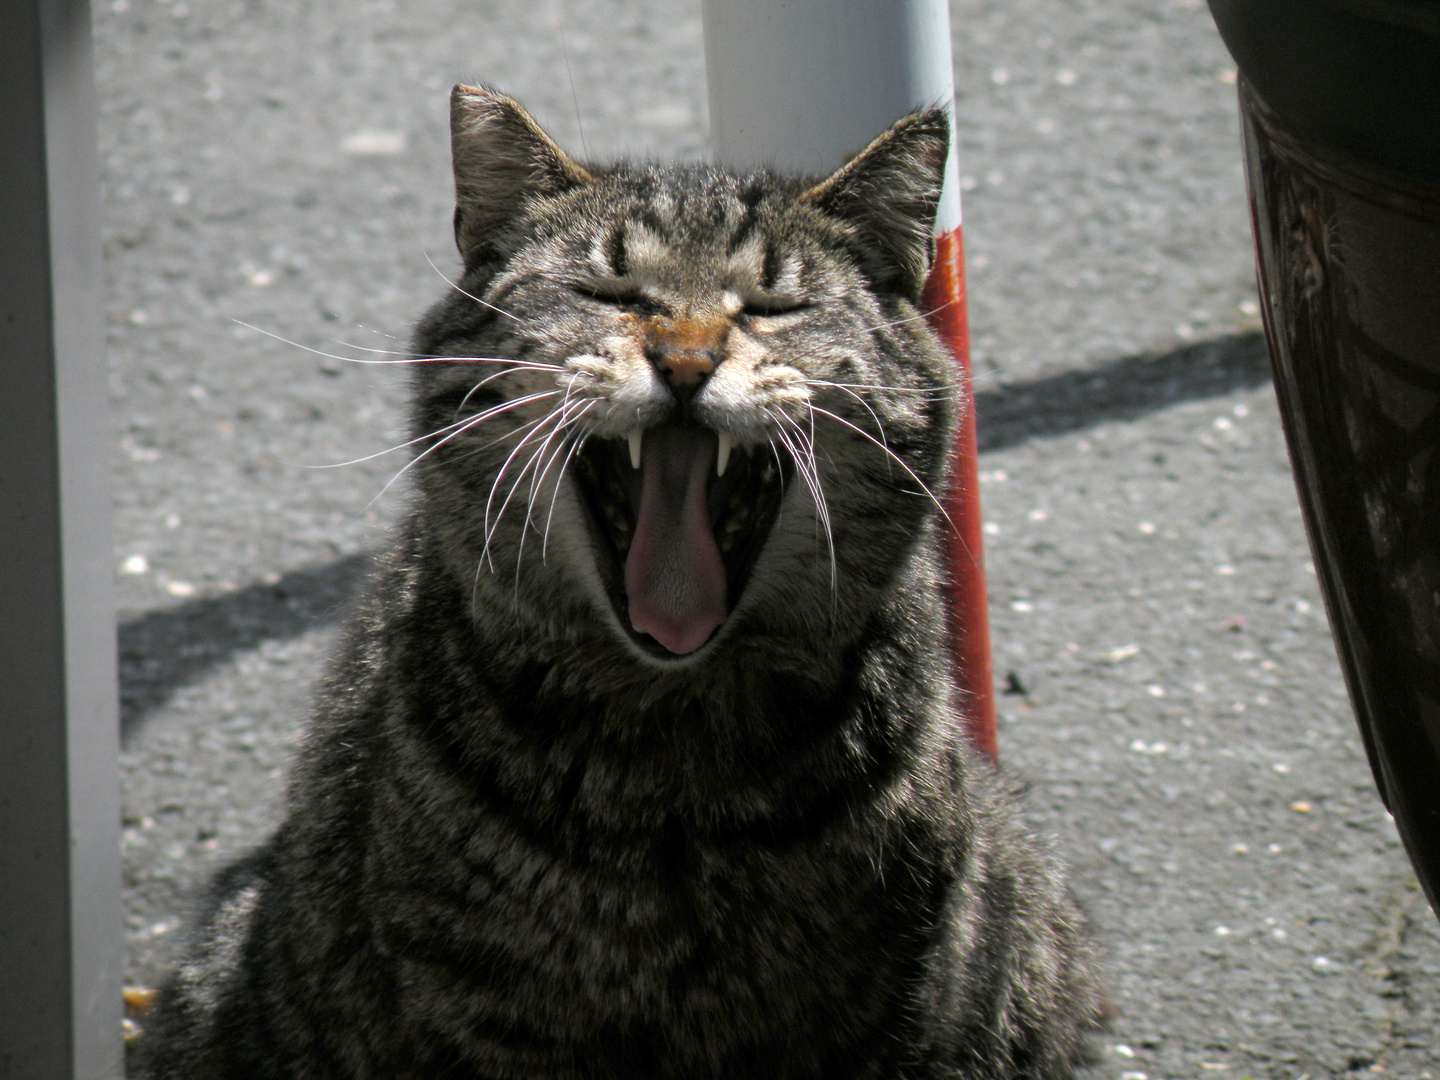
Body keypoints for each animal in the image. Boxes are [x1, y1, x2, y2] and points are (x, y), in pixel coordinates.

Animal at [137, 86, 1100, 1080]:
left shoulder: (896, 1010)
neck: (670, 784)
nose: (685, 360)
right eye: (609, 292)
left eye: (773, 304)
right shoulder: (483, 1024)